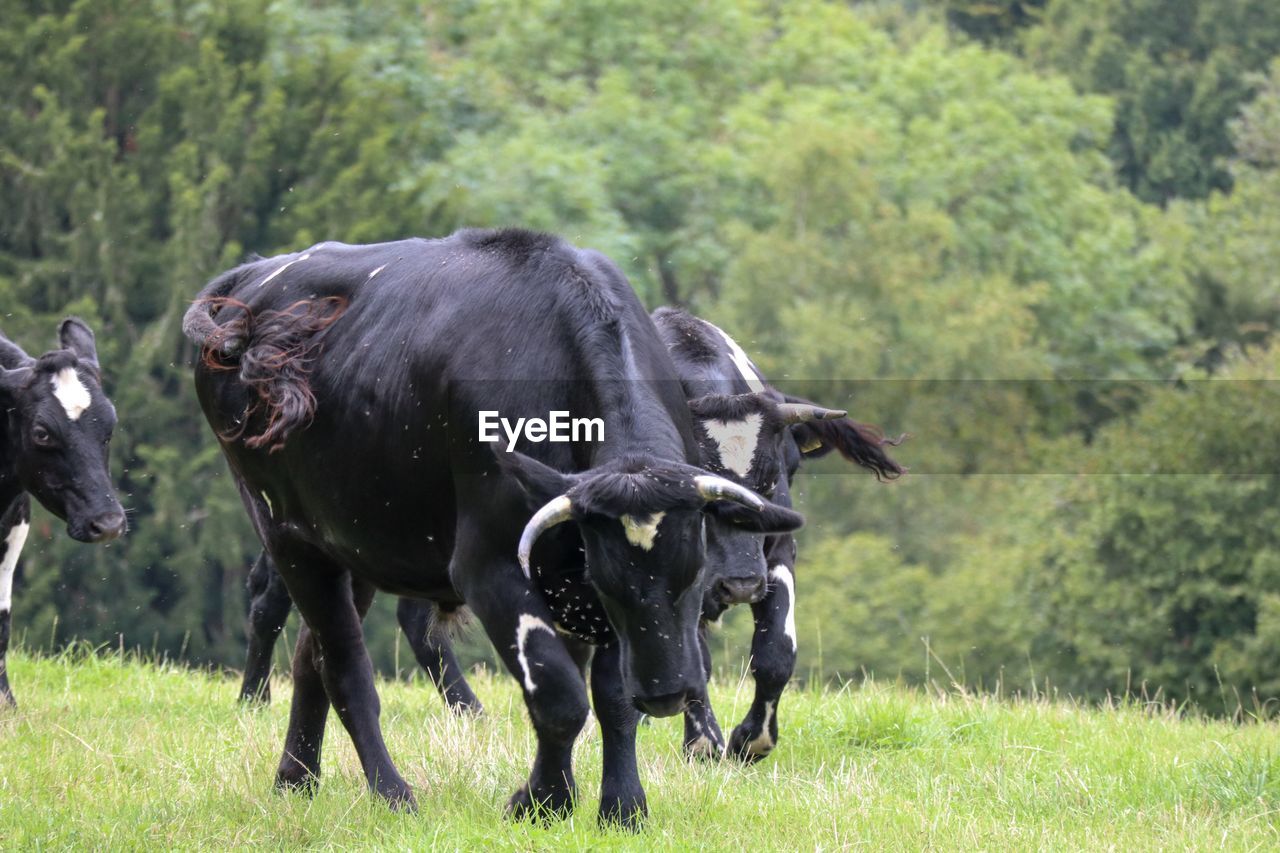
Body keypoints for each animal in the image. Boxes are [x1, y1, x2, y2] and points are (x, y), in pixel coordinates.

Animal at [0, 318, 127, 701]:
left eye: (110, 425)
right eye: (42, 433)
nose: (108, 522)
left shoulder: (15, 526)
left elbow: (2, 620)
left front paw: (6, 702)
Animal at [183, 227, 798, 824]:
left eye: (692, 575)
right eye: (611, 579)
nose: (668, 693)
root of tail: (255, 278)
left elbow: (612, 701)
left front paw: (623, 808)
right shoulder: (490, 568)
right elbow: (559, 696)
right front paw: (544, 802)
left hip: (353, 545)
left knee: (311, 657)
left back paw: (297, 778)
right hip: (288, 534)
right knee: (343, 666)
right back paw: (391, 793)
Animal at [238, 306, 901, 763]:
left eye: (778, 476)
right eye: (702, 489)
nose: (739, 584)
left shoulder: (775, 550)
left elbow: (774, 654)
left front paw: (750, 739)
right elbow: (694, 658)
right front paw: (705, 741)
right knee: (276, 601)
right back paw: (252, 698)